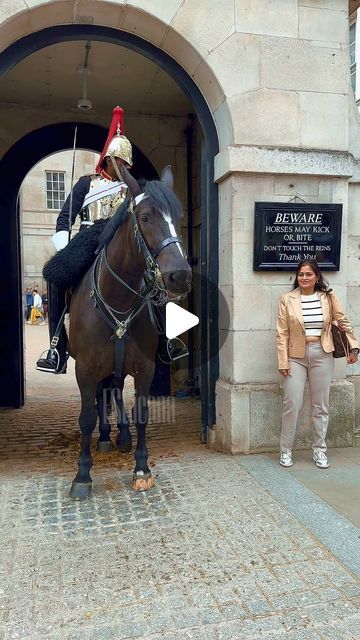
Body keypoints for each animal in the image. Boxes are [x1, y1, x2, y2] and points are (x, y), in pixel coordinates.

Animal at [67, 165, 191, 500]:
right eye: (145, 217)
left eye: (179, 217)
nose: (180, 275)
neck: (118, 300)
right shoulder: (85, 368)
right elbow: (86, 417)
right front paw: (82, 475)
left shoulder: (144, 367)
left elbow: (141, 413)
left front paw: (141, 468)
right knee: (102, 397)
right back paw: (105, 438)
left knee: (115, 391)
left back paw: (119, 436)